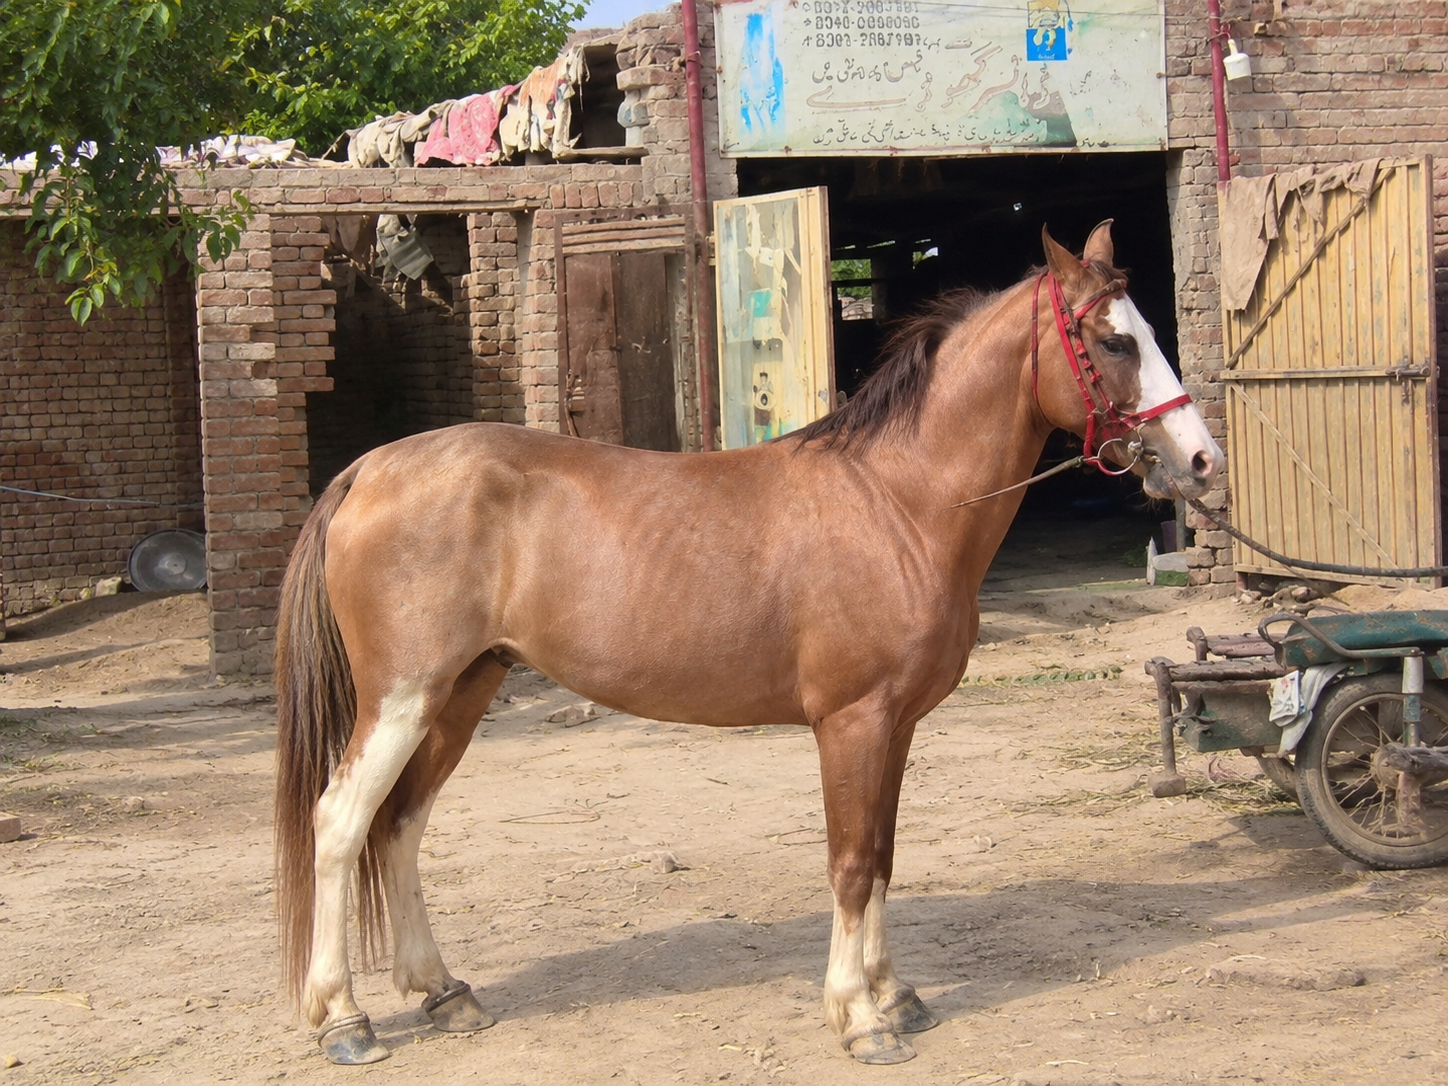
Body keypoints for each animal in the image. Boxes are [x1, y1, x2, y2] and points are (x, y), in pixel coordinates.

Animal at [273, 221, 1223, 1066]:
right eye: (1113, 341)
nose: (1201, 460)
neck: (898, 500)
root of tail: (370, 469)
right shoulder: (852, 723)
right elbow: (850, 862)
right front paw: (859, 1018)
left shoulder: (897, 726)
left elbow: (883, 855)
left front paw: (893, 995)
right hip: (403, 699)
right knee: (340, 823)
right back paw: (342, 1019)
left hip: (460, 693)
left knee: (399, 825)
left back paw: (443, 991)